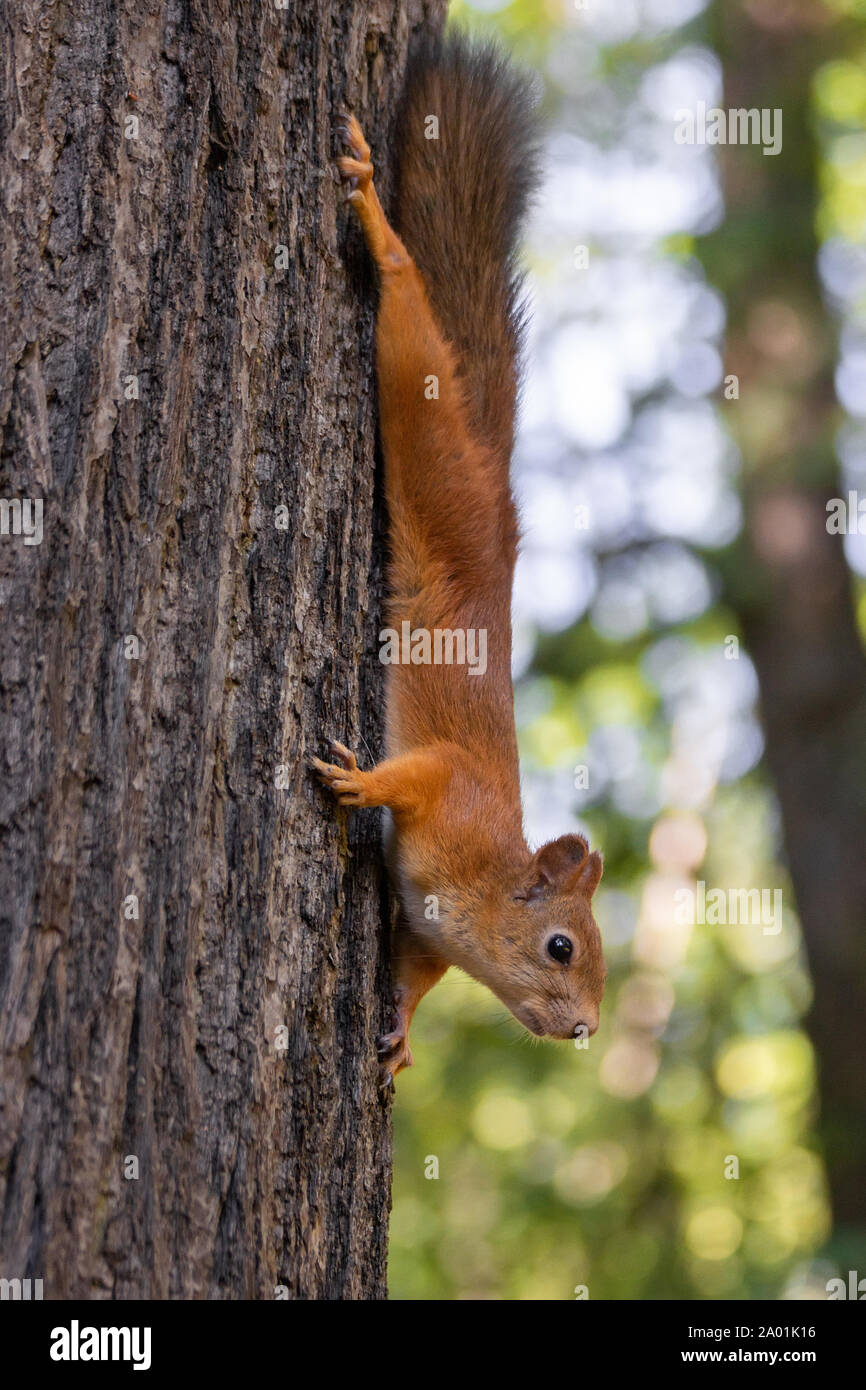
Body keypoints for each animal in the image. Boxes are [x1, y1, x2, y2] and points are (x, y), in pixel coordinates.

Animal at [315, 35, 606, 1084]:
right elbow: (418, 775)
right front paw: (359, 786)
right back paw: (377, 224)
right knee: (407, 316)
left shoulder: (426, 933)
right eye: (560, 947)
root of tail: (497, 506)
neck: (484, 885)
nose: (584, 1029)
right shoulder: (452, 799)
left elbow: (411, 970)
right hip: (428, 429)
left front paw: (398, 1029)